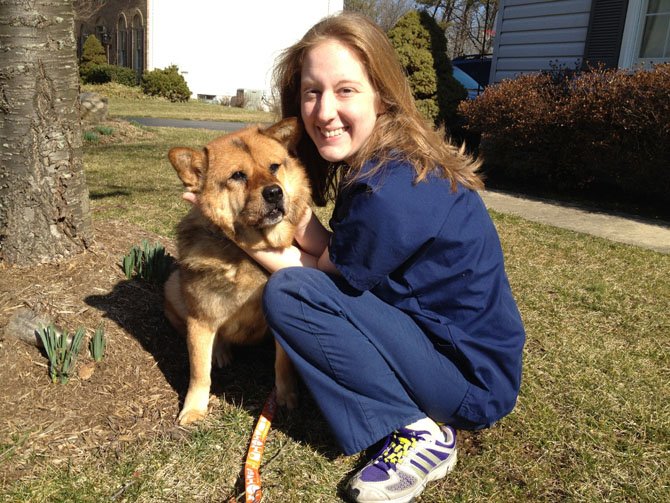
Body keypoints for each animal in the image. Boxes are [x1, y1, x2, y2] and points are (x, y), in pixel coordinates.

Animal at [164, 117, 312, 426]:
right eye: (238, 176)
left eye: (274, 167)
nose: (274, 192)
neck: (247, 254)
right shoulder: (200, 321)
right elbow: (199, 372)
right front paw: (194, 408)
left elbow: (282, 365)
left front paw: (286, 396)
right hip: (173, 286)